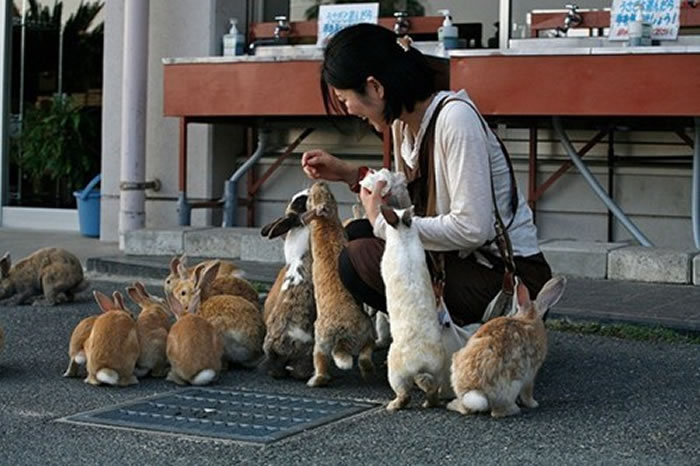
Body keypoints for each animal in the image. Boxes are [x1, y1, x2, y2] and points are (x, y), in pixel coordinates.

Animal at [300, 180, 378, 388]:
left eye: (309, 199)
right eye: (331, 195)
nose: (319, 182)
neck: (324, 223)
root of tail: (343, 338)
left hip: (321, 341)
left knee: (321, 362)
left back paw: (314, 381)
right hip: (366, 332)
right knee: (365, 354)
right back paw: (368, 373)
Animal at [380, 205, 452, 412]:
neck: (403, 236)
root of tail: (421, 360)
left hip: (396, 373)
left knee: (404, 394)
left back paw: (392, 406)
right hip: (438, 371)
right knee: (433, 390)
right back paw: (429, 403)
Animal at [448, 276, 568, 418]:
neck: (529, 317)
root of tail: (475, 390)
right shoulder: (531, 374)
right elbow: (528, 391)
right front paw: (533, 404)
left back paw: (452, 404)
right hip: (514, 383)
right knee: (498, 411)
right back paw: (515, 409)